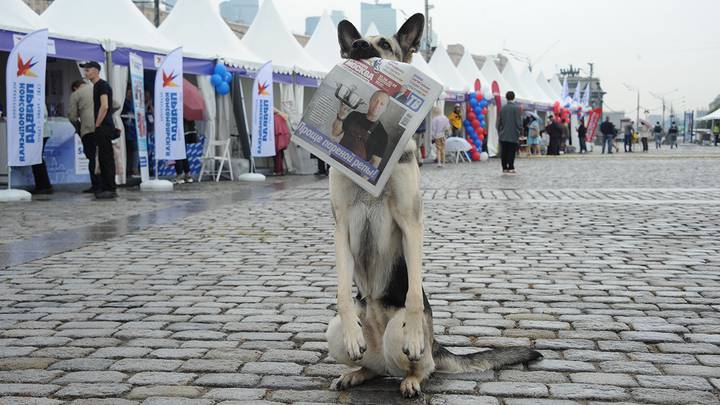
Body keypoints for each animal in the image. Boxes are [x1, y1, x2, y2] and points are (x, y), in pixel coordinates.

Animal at [326, 13, 540, 398]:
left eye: (383, 45)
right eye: (357, 44)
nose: (359, 47)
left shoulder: (410, 222)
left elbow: (412, 294)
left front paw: (413, 336)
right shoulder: (342, 226)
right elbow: (342, 291)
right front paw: (353, 334)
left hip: (402, 341)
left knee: (424, 366)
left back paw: (412, 376)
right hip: (334, 331)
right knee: (373, 368)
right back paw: (356, 372)